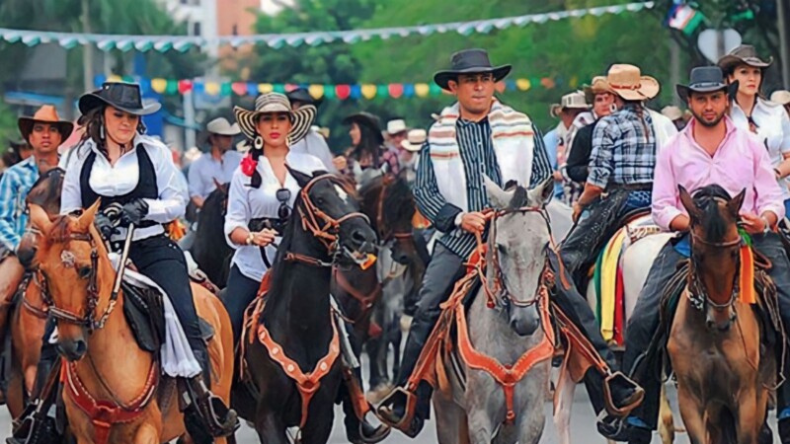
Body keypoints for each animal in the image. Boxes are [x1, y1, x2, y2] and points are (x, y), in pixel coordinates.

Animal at [27, 201, 237, 444]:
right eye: (43, 272)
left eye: (86, 270)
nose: (70, 346)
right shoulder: (83, 434)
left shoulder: (146, 429)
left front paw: (134, 209)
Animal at [235, 168, 380, 442]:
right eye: (320, 199)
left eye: (356, 201)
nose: (364, 238)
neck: (301, 328)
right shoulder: (268, 417)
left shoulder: (320, 417)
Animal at [434, 179, 556, 444]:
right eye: (501, 247)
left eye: (544, 246)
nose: (525, 322)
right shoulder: (478, 416)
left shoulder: (532, 416)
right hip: (446, 406)